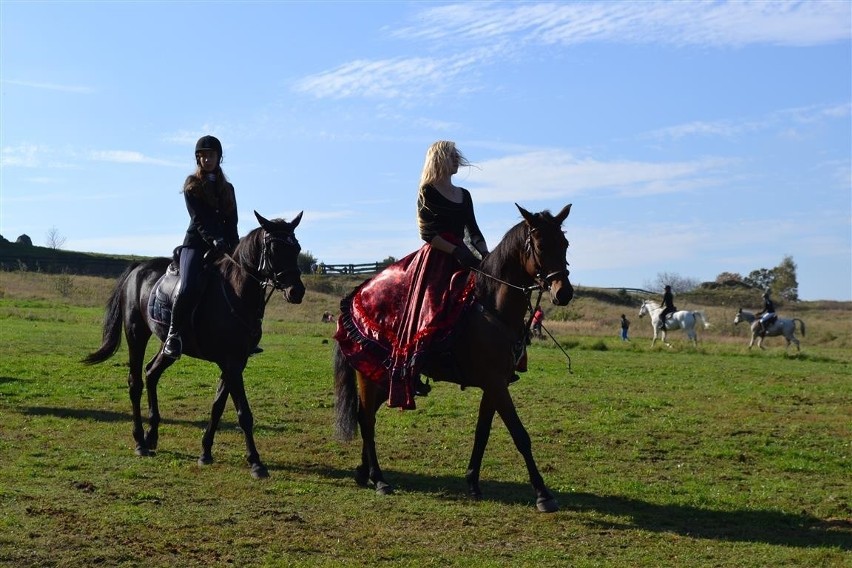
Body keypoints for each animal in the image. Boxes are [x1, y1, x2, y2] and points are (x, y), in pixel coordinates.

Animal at [80, 211, 306, 478]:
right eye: (274, 248)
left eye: (296, 248)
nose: (297, 291)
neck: (237, 291)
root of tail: (138, 268)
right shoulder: (231, 362)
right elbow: (244, 414)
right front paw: (256, 463)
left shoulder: (235, 362)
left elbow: (218, 406)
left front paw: (205, 452)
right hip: (136, 334)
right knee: (135, 382)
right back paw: (140, 442)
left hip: (169, 345)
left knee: (151, 373)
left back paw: (152, 435)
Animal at [332, 203, 572, 510]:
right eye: (540, 246)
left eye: (564, 244)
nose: (564, 293)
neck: (492, 308)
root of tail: (355, 296)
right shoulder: (496, 384)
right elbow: (520, 435)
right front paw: (543, 494)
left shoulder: (494, 384)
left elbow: (482, 432)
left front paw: (472, 483)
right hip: (368, 375)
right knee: (367, 421)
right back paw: (380, 479)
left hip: (384, 378)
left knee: (366, 416)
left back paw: (364, 473)